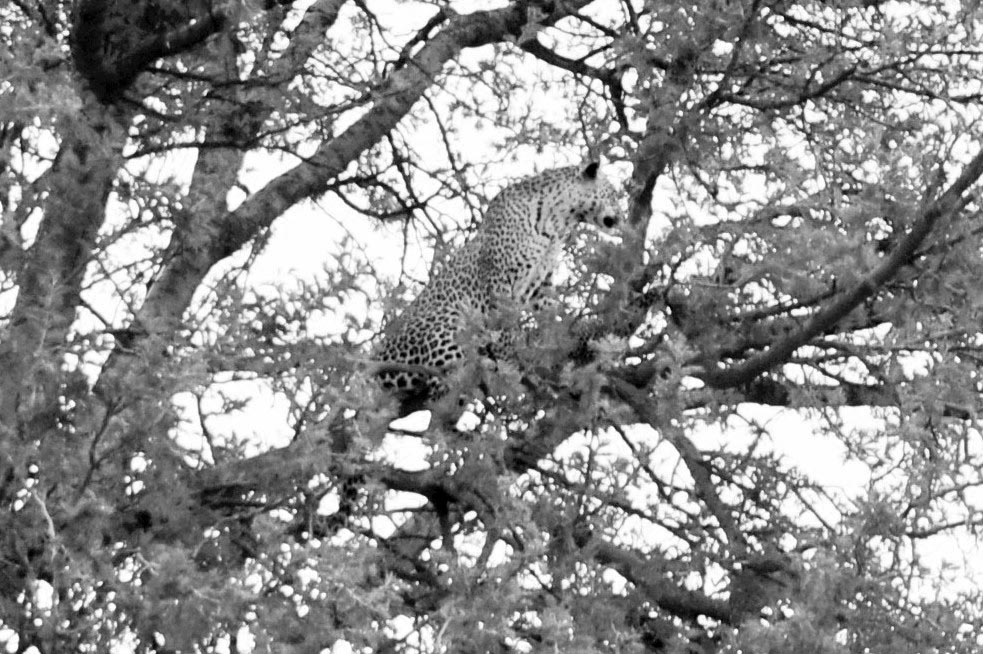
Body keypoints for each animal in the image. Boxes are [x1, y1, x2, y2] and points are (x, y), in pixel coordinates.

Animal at [376, 161, 624, 402]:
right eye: (613, 195)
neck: (558, 222)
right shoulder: (499, 274)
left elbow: (549, 314)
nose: (622, 219)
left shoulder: (542, 283)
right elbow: (504, 321)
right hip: (450, 318)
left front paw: (559, 341)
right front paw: (509, 358)